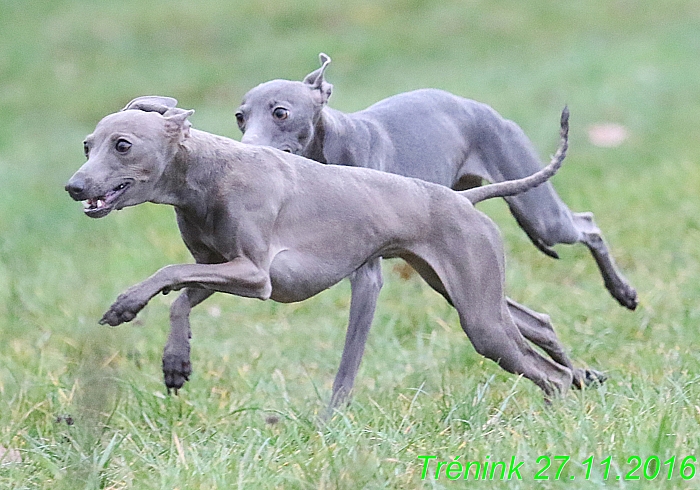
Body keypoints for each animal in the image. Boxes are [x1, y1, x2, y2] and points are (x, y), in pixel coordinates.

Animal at [67, 97, 600, 412]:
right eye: (87, 145)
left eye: (122, 145)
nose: (74, 187)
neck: (209, 171)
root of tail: (464, 199)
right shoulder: (220, 268)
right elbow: (181, 293)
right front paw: (176, 361)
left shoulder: (254, 275)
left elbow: (169, 272)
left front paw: (126, 303)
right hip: (462, 290)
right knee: (538, 330)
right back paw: (580, 379)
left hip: (480, 317)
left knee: (548, 373)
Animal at [237, 52, 640, 314]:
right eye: (241, 116)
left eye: (281, 112)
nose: (245, 151)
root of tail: (482, 108)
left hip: (539, 212)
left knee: (587, 225)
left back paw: (622, 292)